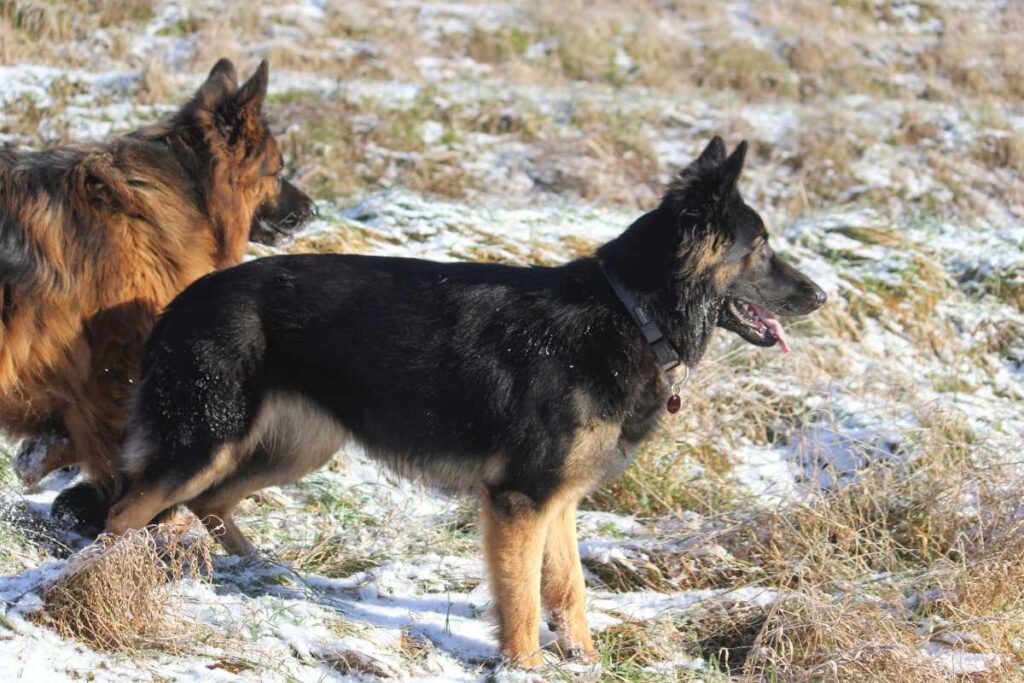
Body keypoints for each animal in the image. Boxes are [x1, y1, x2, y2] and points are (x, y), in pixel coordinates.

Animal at [106, 137, 825, 666]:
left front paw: (585, 659)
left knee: (208, 502)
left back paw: (265, 572)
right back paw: (107, 585)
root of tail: (181, 299)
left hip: (295, 446)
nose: (821, 295)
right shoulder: (518, 501)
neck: (629, 310)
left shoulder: (557, 501)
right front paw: (524, 665)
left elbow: (568, 588)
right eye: (761, 246)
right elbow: (523, 599)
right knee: (125, 511)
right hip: (207, 439)